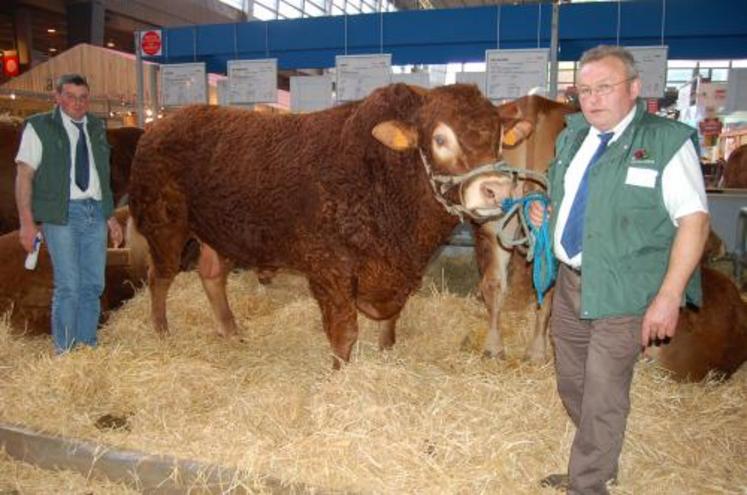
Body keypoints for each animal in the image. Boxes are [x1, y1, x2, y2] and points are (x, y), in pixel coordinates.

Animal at [129, 83, 524, 368]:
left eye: (499, 138)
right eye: (440, 138)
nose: (496, 189)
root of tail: (158, 124)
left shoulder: (399, 272)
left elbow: (390, 322)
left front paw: (385, 354)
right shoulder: (329, 267)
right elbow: (344, 331)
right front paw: (339, 376)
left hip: (219, 229)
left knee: (211, 274)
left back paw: (230, 331)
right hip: (164, 223)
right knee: (159, 277)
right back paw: (162, 332)